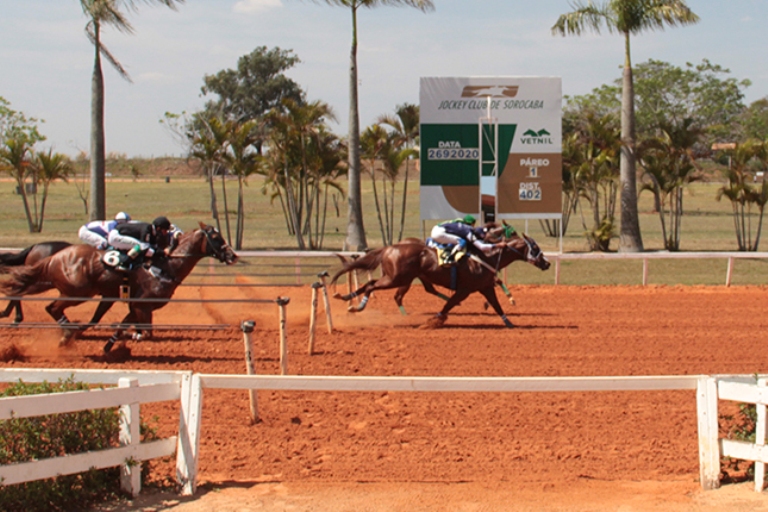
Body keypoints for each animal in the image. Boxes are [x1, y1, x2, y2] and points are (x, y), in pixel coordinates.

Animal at [0, 223, 237, 352]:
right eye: (215, 236)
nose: (232, 255)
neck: (166, 265)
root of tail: (54, 256)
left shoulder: (132, 305)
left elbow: (122, 326)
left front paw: (109, 346)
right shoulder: (141, 305)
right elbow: (145, 332)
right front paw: (131, 337)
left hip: (52, 284)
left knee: (22, 292)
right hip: (77, 292)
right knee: (50, 307)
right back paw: (64, 333)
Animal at [328, 232, 548, 328]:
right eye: (535, 248)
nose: (547, 264)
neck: (487, 256)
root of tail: (389, 248)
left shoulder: (485, 287)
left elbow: (497, 305)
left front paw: (510, 323)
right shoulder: (465, 289)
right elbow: (450, 304)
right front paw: (435, 320)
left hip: (394, 277)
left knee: (369, 284)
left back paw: (346, 299)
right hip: (396, 278)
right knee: (372, 286)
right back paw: (358, 306)